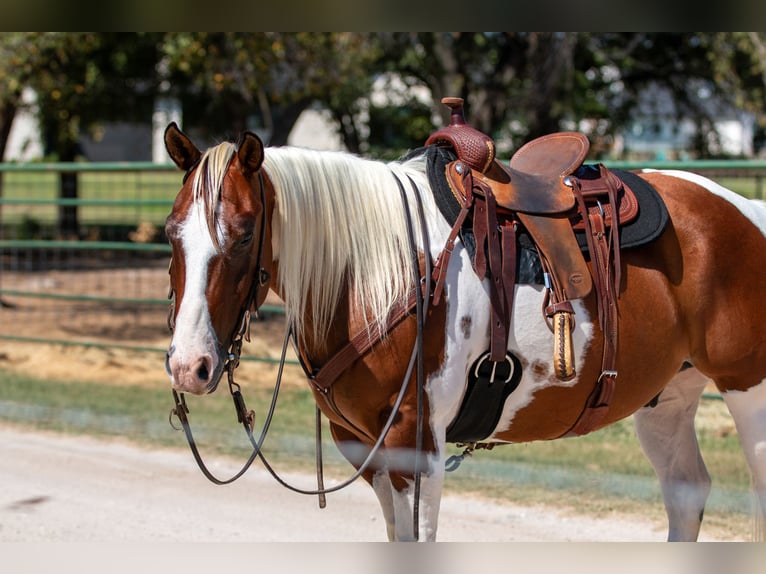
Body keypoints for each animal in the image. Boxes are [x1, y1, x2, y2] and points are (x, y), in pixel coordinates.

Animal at [164, 117, 766, 544]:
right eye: (172, 232)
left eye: (245, 234)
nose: (188, 366)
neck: (379, 274)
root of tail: (744, 208)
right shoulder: (365, 450)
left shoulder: (417, 443)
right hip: (668, 397)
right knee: (687, 493)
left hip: (748, 390)